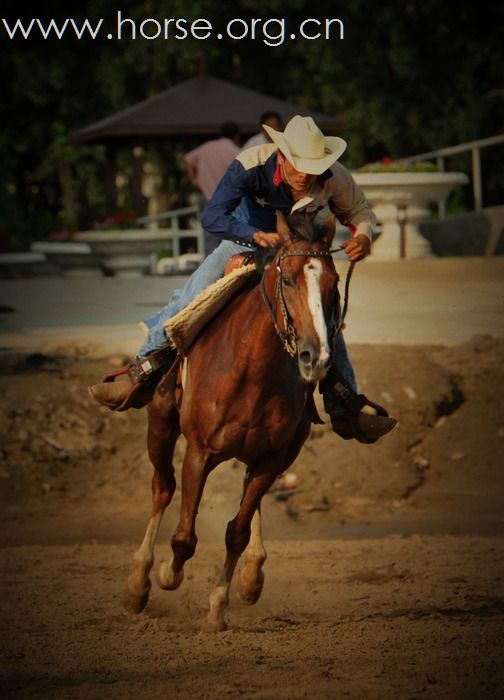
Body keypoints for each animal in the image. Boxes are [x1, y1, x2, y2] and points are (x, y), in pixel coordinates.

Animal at [124, 212, 340, 628]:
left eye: (334, 284)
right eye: (287, 279)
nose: (316, 356)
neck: (252, 370)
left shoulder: (271, 458)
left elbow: (236, 530)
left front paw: (218, 605)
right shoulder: (199, 451)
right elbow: (184, 536)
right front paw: (168, 575)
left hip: (277, 452)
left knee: (245, 503)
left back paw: (252, 576)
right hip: (161, 422)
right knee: (162, 487)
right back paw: (139, 583)